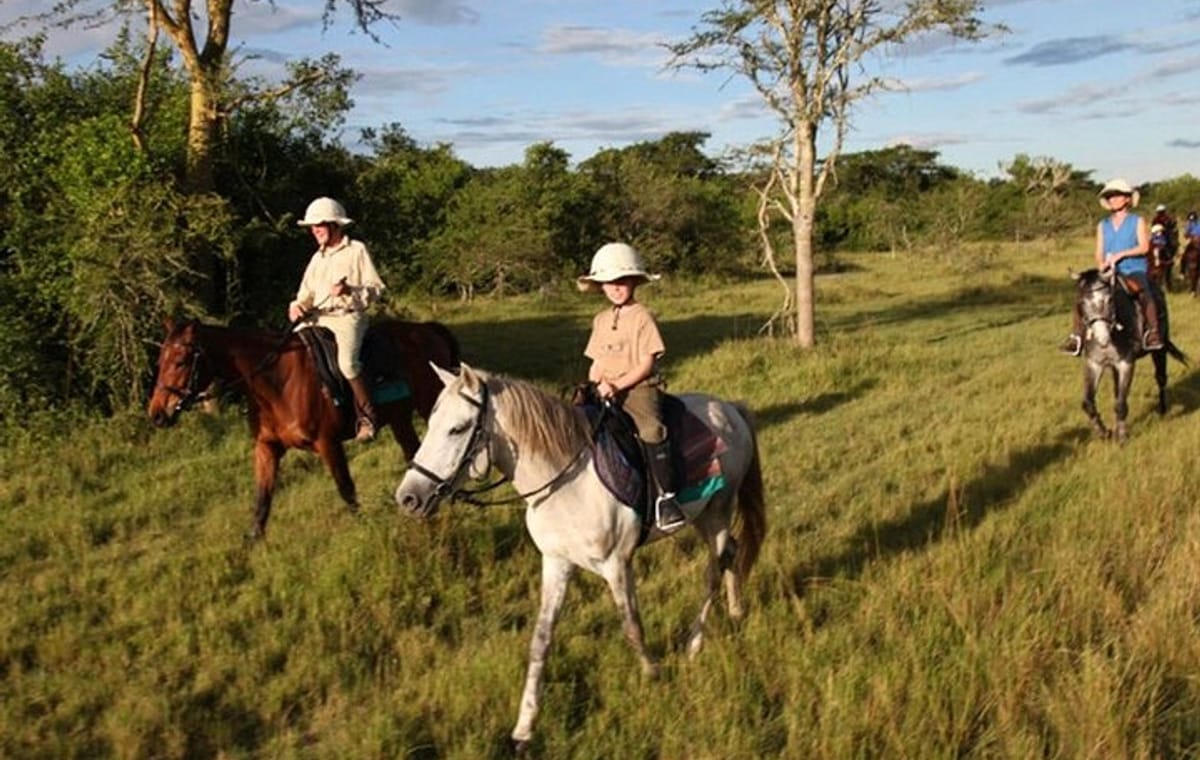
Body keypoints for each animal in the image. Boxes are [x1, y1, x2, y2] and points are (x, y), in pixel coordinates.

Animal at [148, 317, 459, 538]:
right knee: (413, 451)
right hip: (400, 419)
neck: (276, 381)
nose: (157, 415)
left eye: (180, 361)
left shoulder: (328, 443)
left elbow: (346, 489)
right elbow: (262, 498)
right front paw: (252, 543)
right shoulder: (267, 447)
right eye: (160, 361)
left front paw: (364, 528)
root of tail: (426, 330)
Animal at [394, 364, 766, 752]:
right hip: (706, 518)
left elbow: (631, 627)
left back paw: (695, 642)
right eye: (431, 424)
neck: (565, 481)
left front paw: (653, 672)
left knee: (714, 569)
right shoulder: (556, 563)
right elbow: (540, 640)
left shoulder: (617, 565)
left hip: (717, 513)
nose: (408, 498)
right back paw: (736, 611)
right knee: (732, 553)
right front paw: (524, 728)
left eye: (458, 428)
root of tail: (729, 408)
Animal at [1072, 268, 1186, 443]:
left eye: (1110, 300)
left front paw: (1122, 436)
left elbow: (1121, 404)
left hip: (1159, 350)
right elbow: (1088, 403)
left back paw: (1162, 410)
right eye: (1082, 303)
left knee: (1161, 378)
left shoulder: (1126, 363)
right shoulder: (1094, 364)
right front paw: (1104, 432)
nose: (1102, 338)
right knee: (1116, 389)